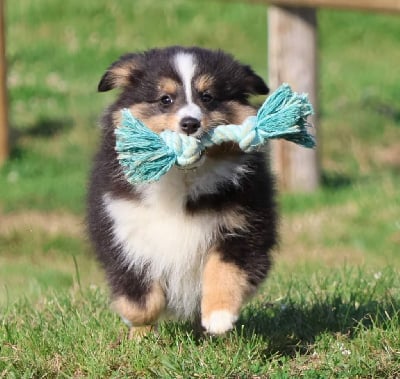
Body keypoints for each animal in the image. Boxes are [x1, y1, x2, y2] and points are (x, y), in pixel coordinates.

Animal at [86, 45, 278, 338]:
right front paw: (139, 331)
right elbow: (140, 296)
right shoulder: (122, 229)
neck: (181, 177)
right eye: (165, 99)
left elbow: (225, 269)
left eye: (208, 97)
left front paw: (219, 316)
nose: (190, 123)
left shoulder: (245, 226)